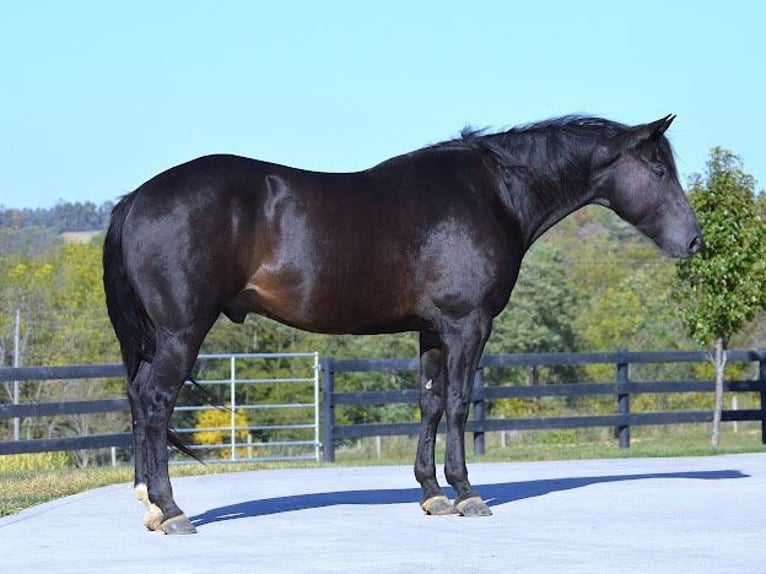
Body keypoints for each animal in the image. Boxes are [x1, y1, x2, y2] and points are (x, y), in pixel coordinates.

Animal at [105, 116, 704, 536]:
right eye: (659, 170)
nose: (694, 241)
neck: (493, 193)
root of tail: (136, 198)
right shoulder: (467, 325)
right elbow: (459, 405)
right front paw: (466, 493)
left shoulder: (433, 331)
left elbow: (431, 403)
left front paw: (432, 493)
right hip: (182, 331)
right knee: (155, 403)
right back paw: (170, 508)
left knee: (138, 399)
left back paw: (148, 504)